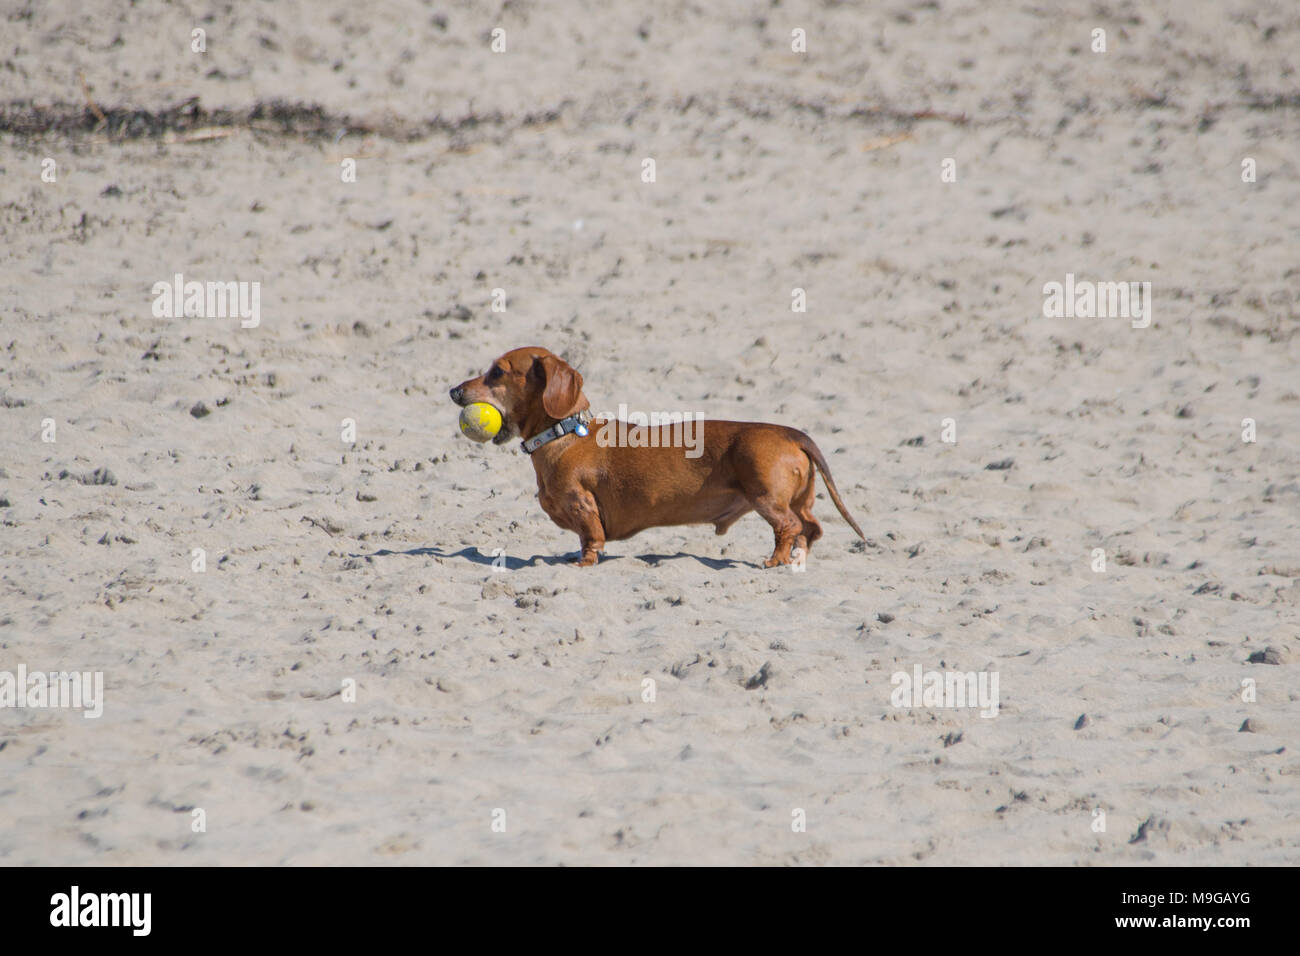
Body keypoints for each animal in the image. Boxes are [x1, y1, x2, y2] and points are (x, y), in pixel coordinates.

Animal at [447, 345, 863, 564]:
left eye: (497, 373)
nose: (453, 391)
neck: (564, 434)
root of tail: (790, 433)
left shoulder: (582, 504)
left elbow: (591, 539)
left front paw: (583, 563)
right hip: (801, 499)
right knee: (811, 528)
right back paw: (797, 559)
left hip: (766, 497)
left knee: (788, 527)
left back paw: (775, 560)